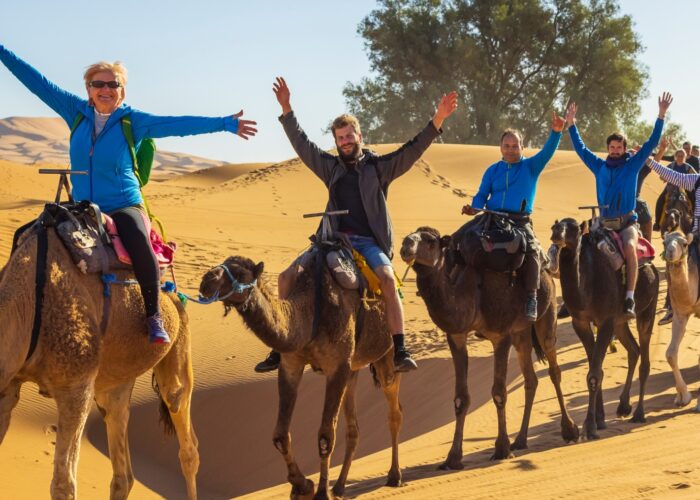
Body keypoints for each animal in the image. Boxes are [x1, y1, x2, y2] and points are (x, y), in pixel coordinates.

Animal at [0, 228, 197, 500]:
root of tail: (172, 291)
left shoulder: (77, 387)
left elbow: (63, 486)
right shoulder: (9, 384)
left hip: (180, 339)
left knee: (183, 429)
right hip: (113, 383)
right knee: (123, 471)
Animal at [200, 254, 402, 500]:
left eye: (240, 273)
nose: (206, 280)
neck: (310, 314)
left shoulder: (337, 366)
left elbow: (325, 436)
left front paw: (321, 493)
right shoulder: (291, 365)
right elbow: (280, 435)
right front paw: (302, 486)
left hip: (385, 356)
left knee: (394, 412)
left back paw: (394, 476)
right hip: (353, 369)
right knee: (353, 428)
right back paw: (339, 487)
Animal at [400, 227, 580, 468]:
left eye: (429, 241)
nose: (405, 245)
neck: (471, 294)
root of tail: (547, 270)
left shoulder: (500, 336)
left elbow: (499, 392)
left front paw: (501, 449)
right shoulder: (456, 336)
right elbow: (461, 398)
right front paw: (452, 457)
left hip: (546, 313)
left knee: (554, 369)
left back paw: (569, 430)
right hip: (521, 332)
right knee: (531, 379)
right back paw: (520, 440)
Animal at [548, 217, 660, 440]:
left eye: (574, 228)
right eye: (557, 224)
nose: (556, 231)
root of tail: (653, 266)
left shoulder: (605, 320)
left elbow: (594, 374)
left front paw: (590, 427)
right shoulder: (581, 322)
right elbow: (595, 367)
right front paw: (599, 420)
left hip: (647, 309)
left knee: (644, 358)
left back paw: (639, 413)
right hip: (620, 322)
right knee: (634, 350)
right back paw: (624, 406)